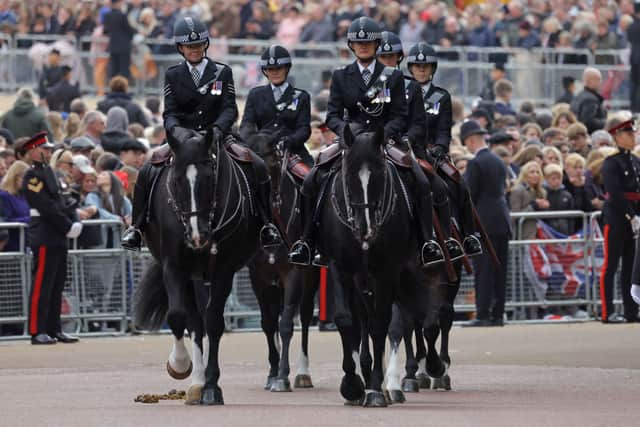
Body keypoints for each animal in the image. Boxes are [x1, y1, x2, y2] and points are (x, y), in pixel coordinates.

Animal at [134, 129, 262, 406]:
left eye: (209, 178)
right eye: (176, 180)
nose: (197, 236)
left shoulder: (223, 270)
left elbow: (213, 321)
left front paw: (212, 387)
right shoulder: (173, 266)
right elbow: (177, 316)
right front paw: (180, 365)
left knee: (204, 318)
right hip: (191, 276)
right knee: (194, 320)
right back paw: (196, 383)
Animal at [249, 131, 322, 394]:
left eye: (265, 159)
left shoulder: (293, 273)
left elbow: (286, 324)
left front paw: (282, 377)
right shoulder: (258, 275)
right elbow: (269, 324)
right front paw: (272, 374)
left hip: (310, 277)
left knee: (305, 314)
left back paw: (302, 373)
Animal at [316, 126, 424, 408]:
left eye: (379, 174)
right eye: (348, 174)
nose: (365, 229)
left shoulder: (386, 271)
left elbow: (381, 324)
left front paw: (375, 388)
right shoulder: (340, 268)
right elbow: (345, 320)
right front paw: (352, 384)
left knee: (405, 318)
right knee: (364, 318)